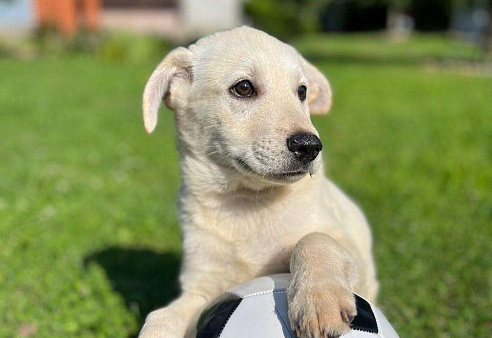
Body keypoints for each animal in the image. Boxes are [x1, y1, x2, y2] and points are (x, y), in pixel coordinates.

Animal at [137, 27, 376, 338]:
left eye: (302, 91)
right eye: (243, 88)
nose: (310, 146)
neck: (247, 202)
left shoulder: (351, 253)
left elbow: (315, 239)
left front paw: (320, 300)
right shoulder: (201, 286)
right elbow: (161, 316)